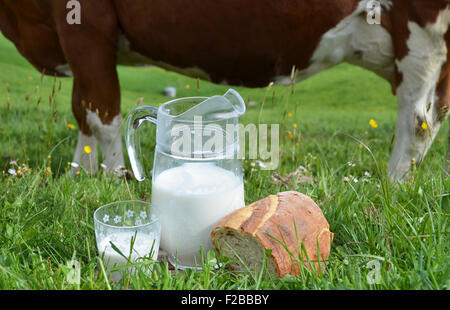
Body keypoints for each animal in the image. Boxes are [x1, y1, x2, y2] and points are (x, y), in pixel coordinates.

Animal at [0, 0, 448, 179]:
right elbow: (83, 111)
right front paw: (81, 173)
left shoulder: (86, 22)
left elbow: (102, 114)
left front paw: (111, 179)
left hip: (424, 33)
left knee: (417, 119)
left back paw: (392, 185)